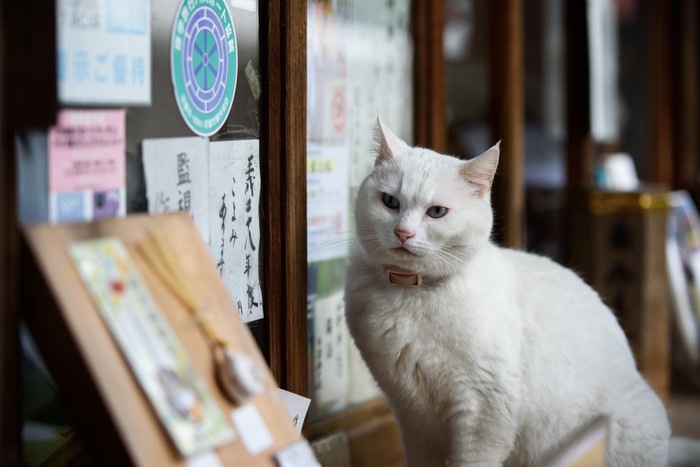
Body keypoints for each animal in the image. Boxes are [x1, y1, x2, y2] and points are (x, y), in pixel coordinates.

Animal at [344, 120, 672, 467]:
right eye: (390, 202)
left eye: (437, 212)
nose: (403, 232)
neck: (411, 293)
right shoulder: (411, 416)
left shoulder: (483, 409)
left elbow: (472, 460)